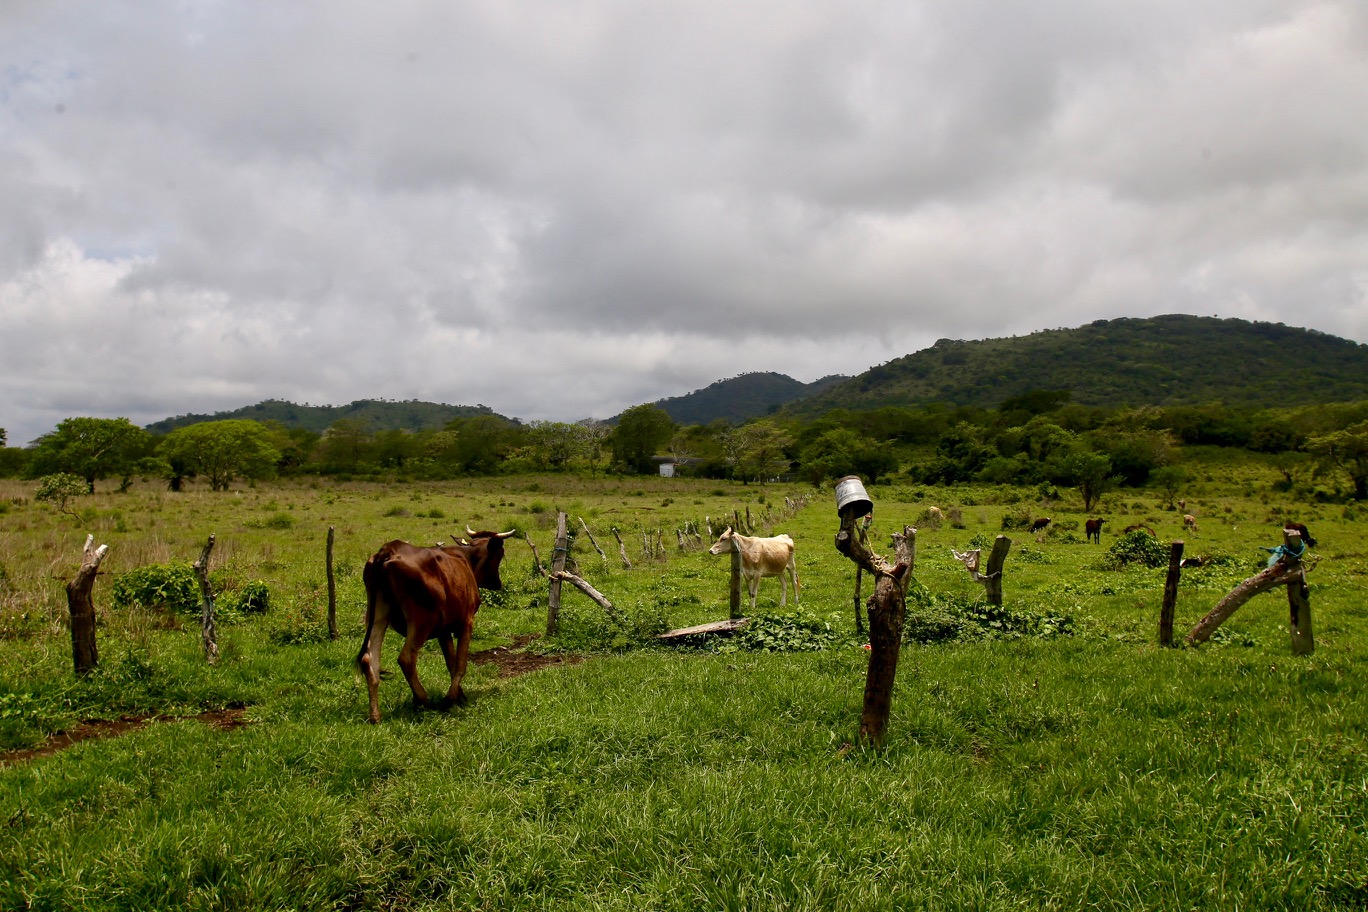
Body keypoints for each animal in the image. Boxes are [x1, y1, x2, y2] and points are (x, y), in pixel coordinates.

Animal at [355, 527, 514, 727]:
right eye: (500, 553)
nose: (498, 583)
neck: (466, 559)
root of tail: (389, 549)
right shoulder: (467, 621)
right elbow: (460, 663)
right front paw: (450, 698)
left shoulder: (443, 630)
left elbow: (451, 662)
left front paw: (459, 695)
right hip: (422, 620)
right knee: (406, 658)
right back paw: (422, 700)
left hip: (377, 615)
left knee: (369, 659)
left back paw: (375, 715)